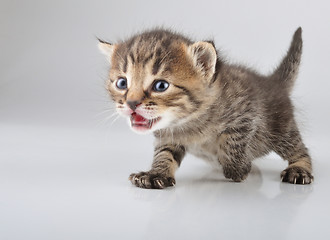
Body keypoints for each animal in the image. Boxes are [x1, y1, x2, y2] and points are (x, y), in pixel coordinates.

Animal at [97, 27, 312, 189]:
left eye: (161, 86)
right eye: (122, 83)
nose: (131, 103)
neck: (188, 122)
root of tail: (273, 82)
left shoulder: (247, 112)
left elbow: (234, 140)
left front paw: (237, 169)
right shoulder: (168, 136)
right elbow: (164, 153)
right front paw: (156, 173)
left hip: (281, 129)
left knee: (299, 149)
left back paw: (299, 169)